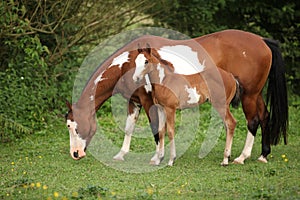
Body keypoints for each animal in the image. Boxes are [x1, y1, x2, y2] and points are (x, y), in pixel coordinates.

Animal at [64, 28, 288, 165]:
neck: (126, 65)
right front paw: (121, 154)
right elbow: (129, 128)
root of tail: (261, 40)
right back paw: (263, 154)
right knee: (265, 117)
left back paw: (241, 157)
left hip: (249, 95)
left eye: (74, 127)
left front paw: (158, 157)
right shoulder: (134, 102)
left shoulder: (148, 102)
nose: (75, 154)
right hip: (255, 94)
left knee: (252, 121)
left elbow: (157, 130)